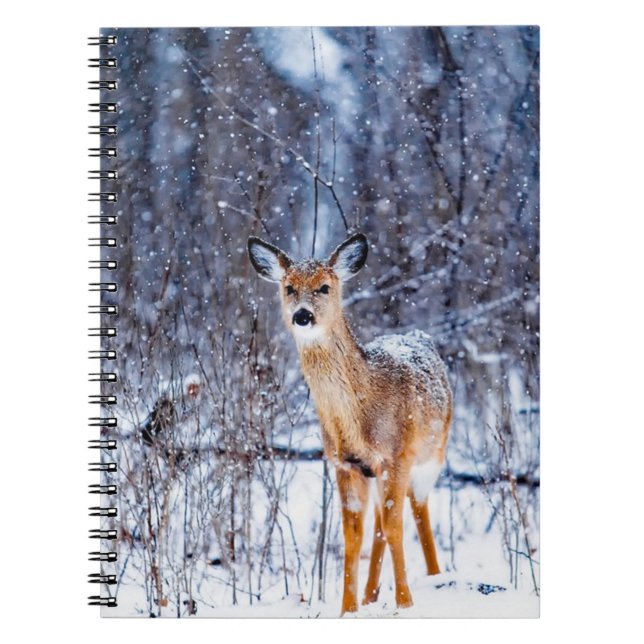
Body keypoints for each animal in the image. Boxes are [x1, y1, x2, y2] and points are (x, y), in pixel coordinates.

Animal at [247, 233, 452, 615]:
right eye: (289, 287)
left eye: (325, 287)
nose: (302, 315)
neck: (360, 417)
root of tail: (418, 335)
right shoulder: (345, 464)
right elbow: (353, 536)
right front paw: (348, 609)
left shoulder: (396, 455)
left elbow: (396, 527)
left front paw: (405, 604)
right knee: (379, 525)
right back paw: (371, 594)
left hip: (433, 454)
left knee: (418, 511)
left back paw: (435, 576)